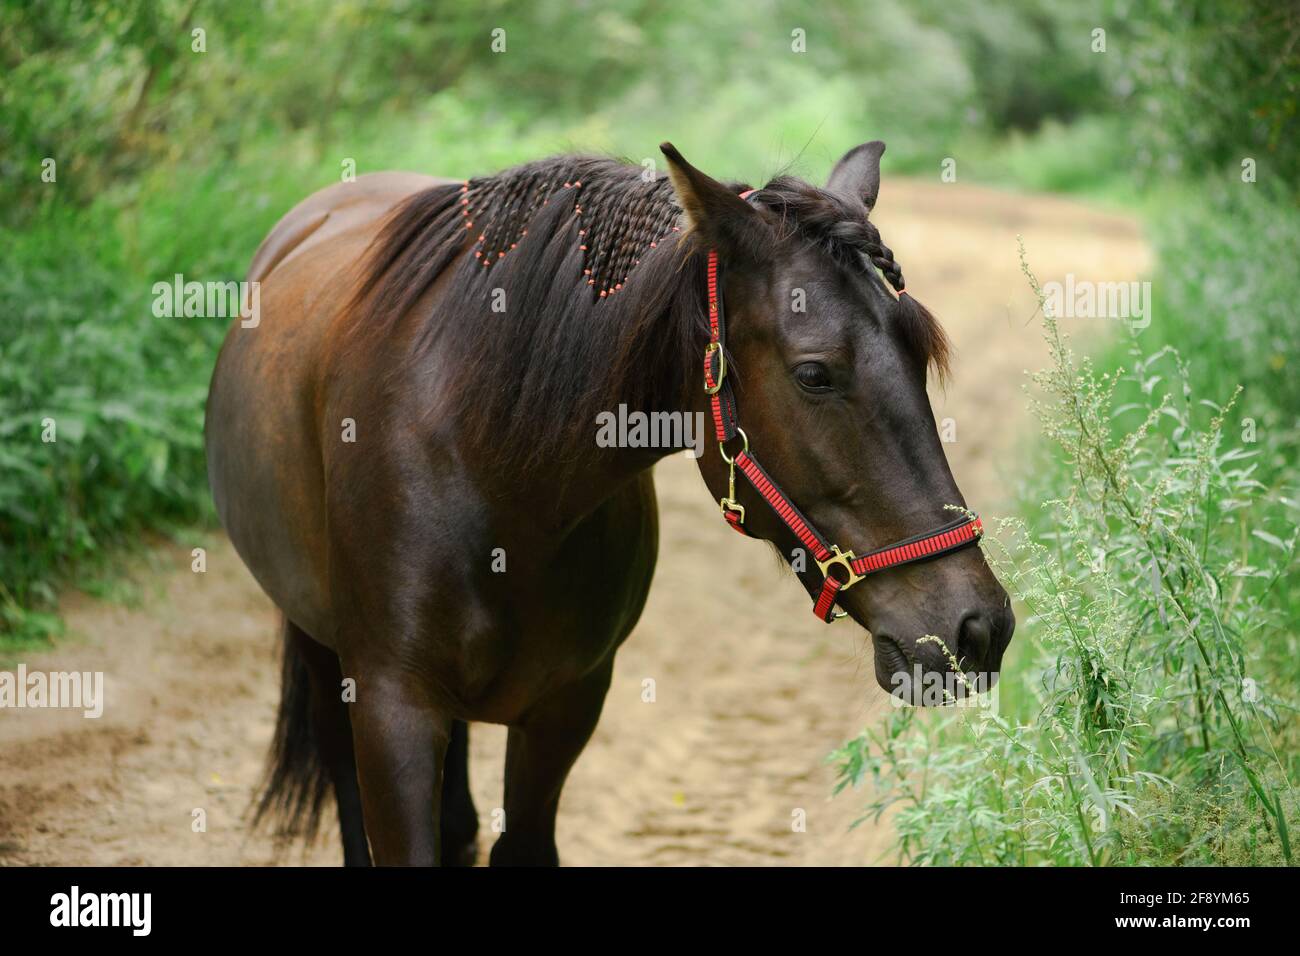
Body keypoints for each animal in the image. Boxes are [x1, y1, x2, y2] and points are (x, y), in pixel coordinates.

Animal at [204, 139, 1015, 866]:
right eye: (814, 374)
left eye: (919, 355)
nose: (976, 626)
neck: (490, 472)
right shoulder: (389, 706)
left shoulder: (567, 706)